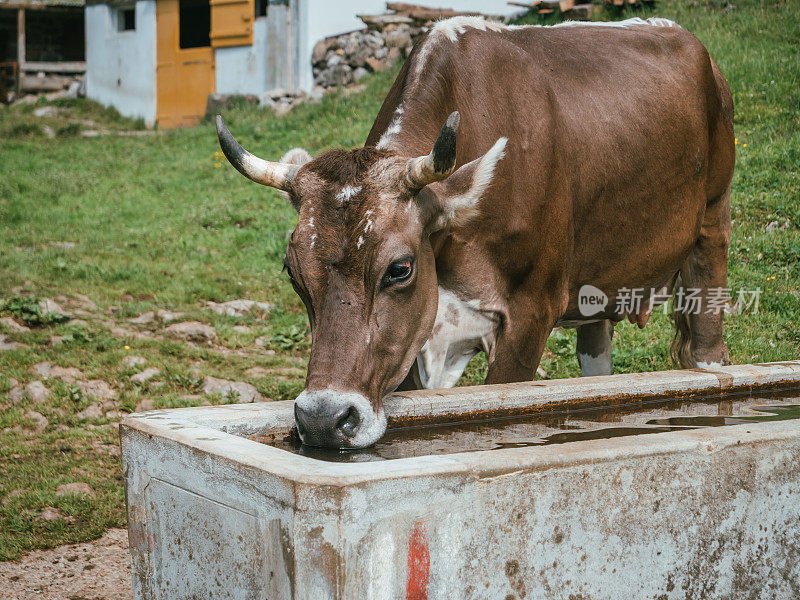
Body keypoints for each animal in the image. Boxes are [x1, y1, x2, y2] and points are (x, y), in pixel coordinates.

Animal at [216, 14, 736, 448]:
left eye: (399, 268)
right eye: (292, 272)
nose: (322, 420)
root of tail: (694, 44)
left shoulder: (531, 310)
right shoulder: (413, 342)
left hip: (712, 222)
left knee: (707, 345)